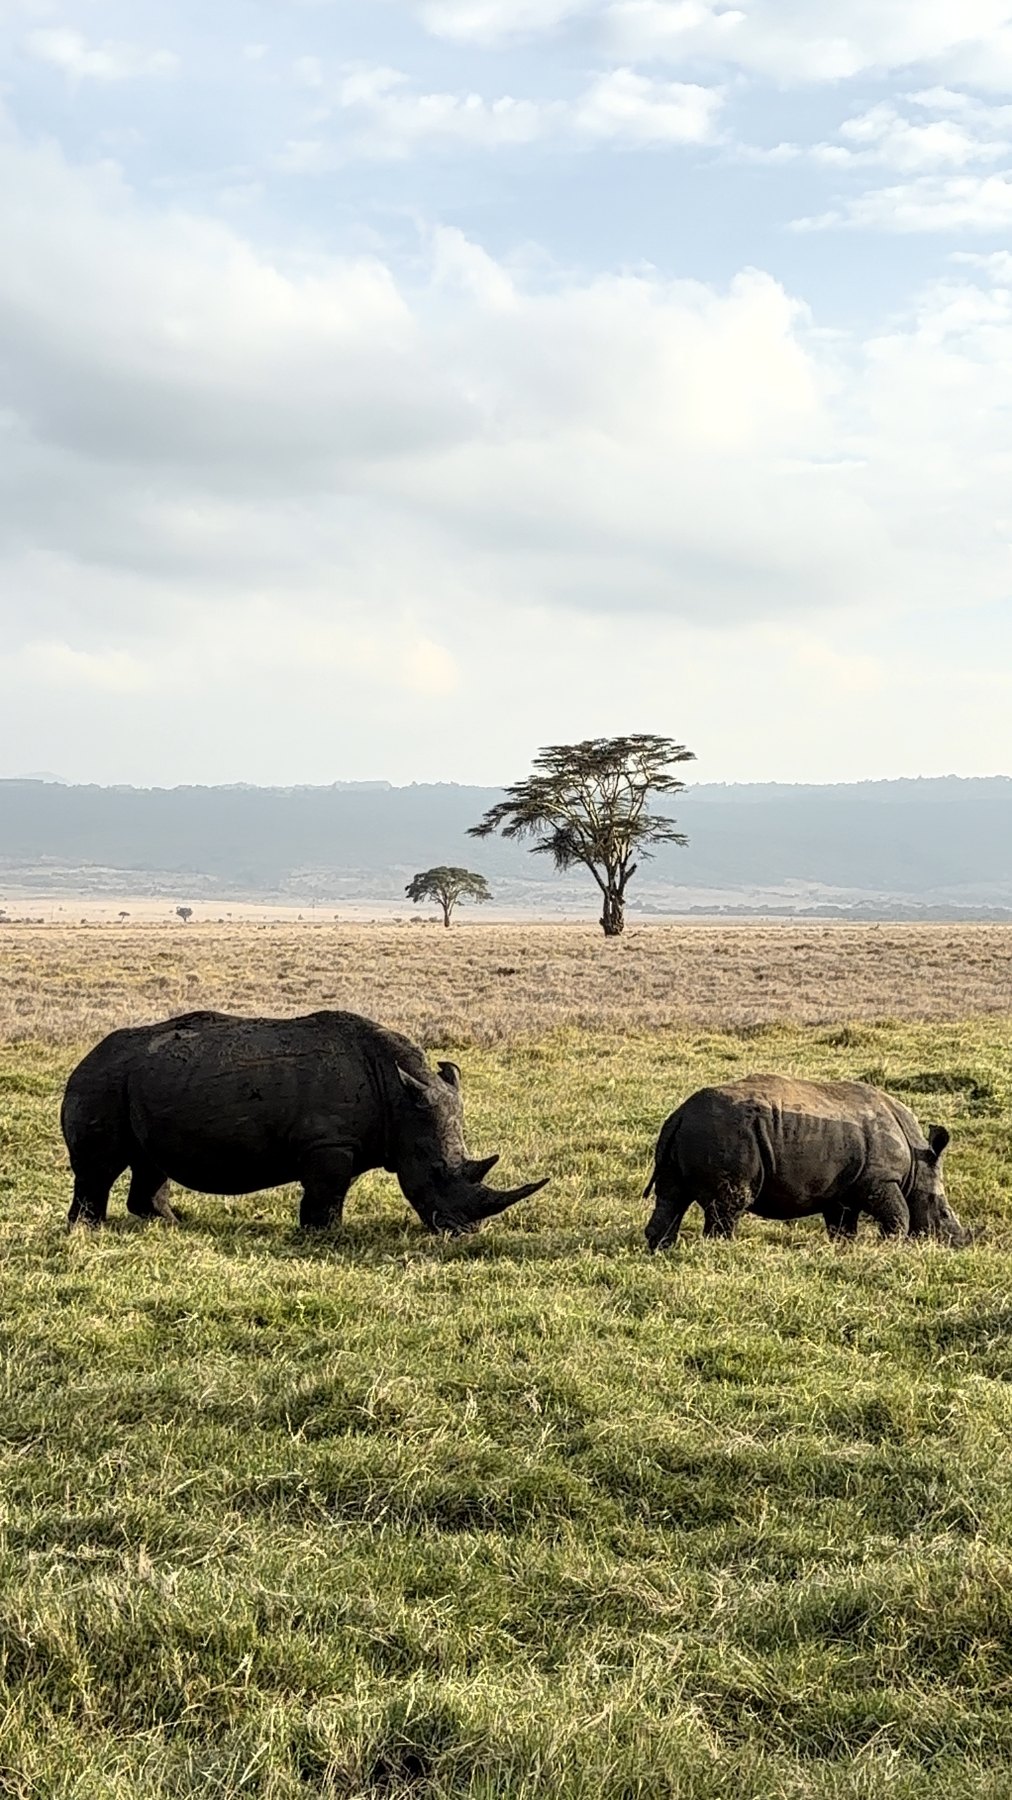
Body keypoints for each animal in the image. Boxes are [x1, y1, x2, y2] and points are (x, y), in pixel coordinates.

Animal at [61, 1009, 547, 1236]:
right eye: (436, 1172)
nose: (465, 1233)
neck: (398, 1092)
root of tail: (85, 1057)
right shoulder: (328, 1142)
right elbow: (327, 1193)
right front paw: (325, 1234)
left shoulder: (342, 1141)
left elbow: (331, 1191)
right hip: (102, 1080)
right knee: (99, 1169)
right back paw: (89, 1230)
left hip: (140, 1081)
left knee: (150, 1161)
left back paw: (171, 1223)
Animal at [643, 1074, 969, 1252]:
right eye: (943, 1213)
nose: (957, 1243)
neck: (917, 1161)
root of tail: (680, 1114)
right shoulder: (879, 1180)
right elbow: (899, 1216)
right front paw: (891, 1246)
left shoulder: (843, 1190)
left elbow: (842, 1226)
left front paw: (845, 1250)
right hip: (724, 1134)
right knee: (728, 1204)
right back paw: (724, 1251)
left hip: (691, 1133)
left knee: (672, 1196)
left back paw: (661, 1251)